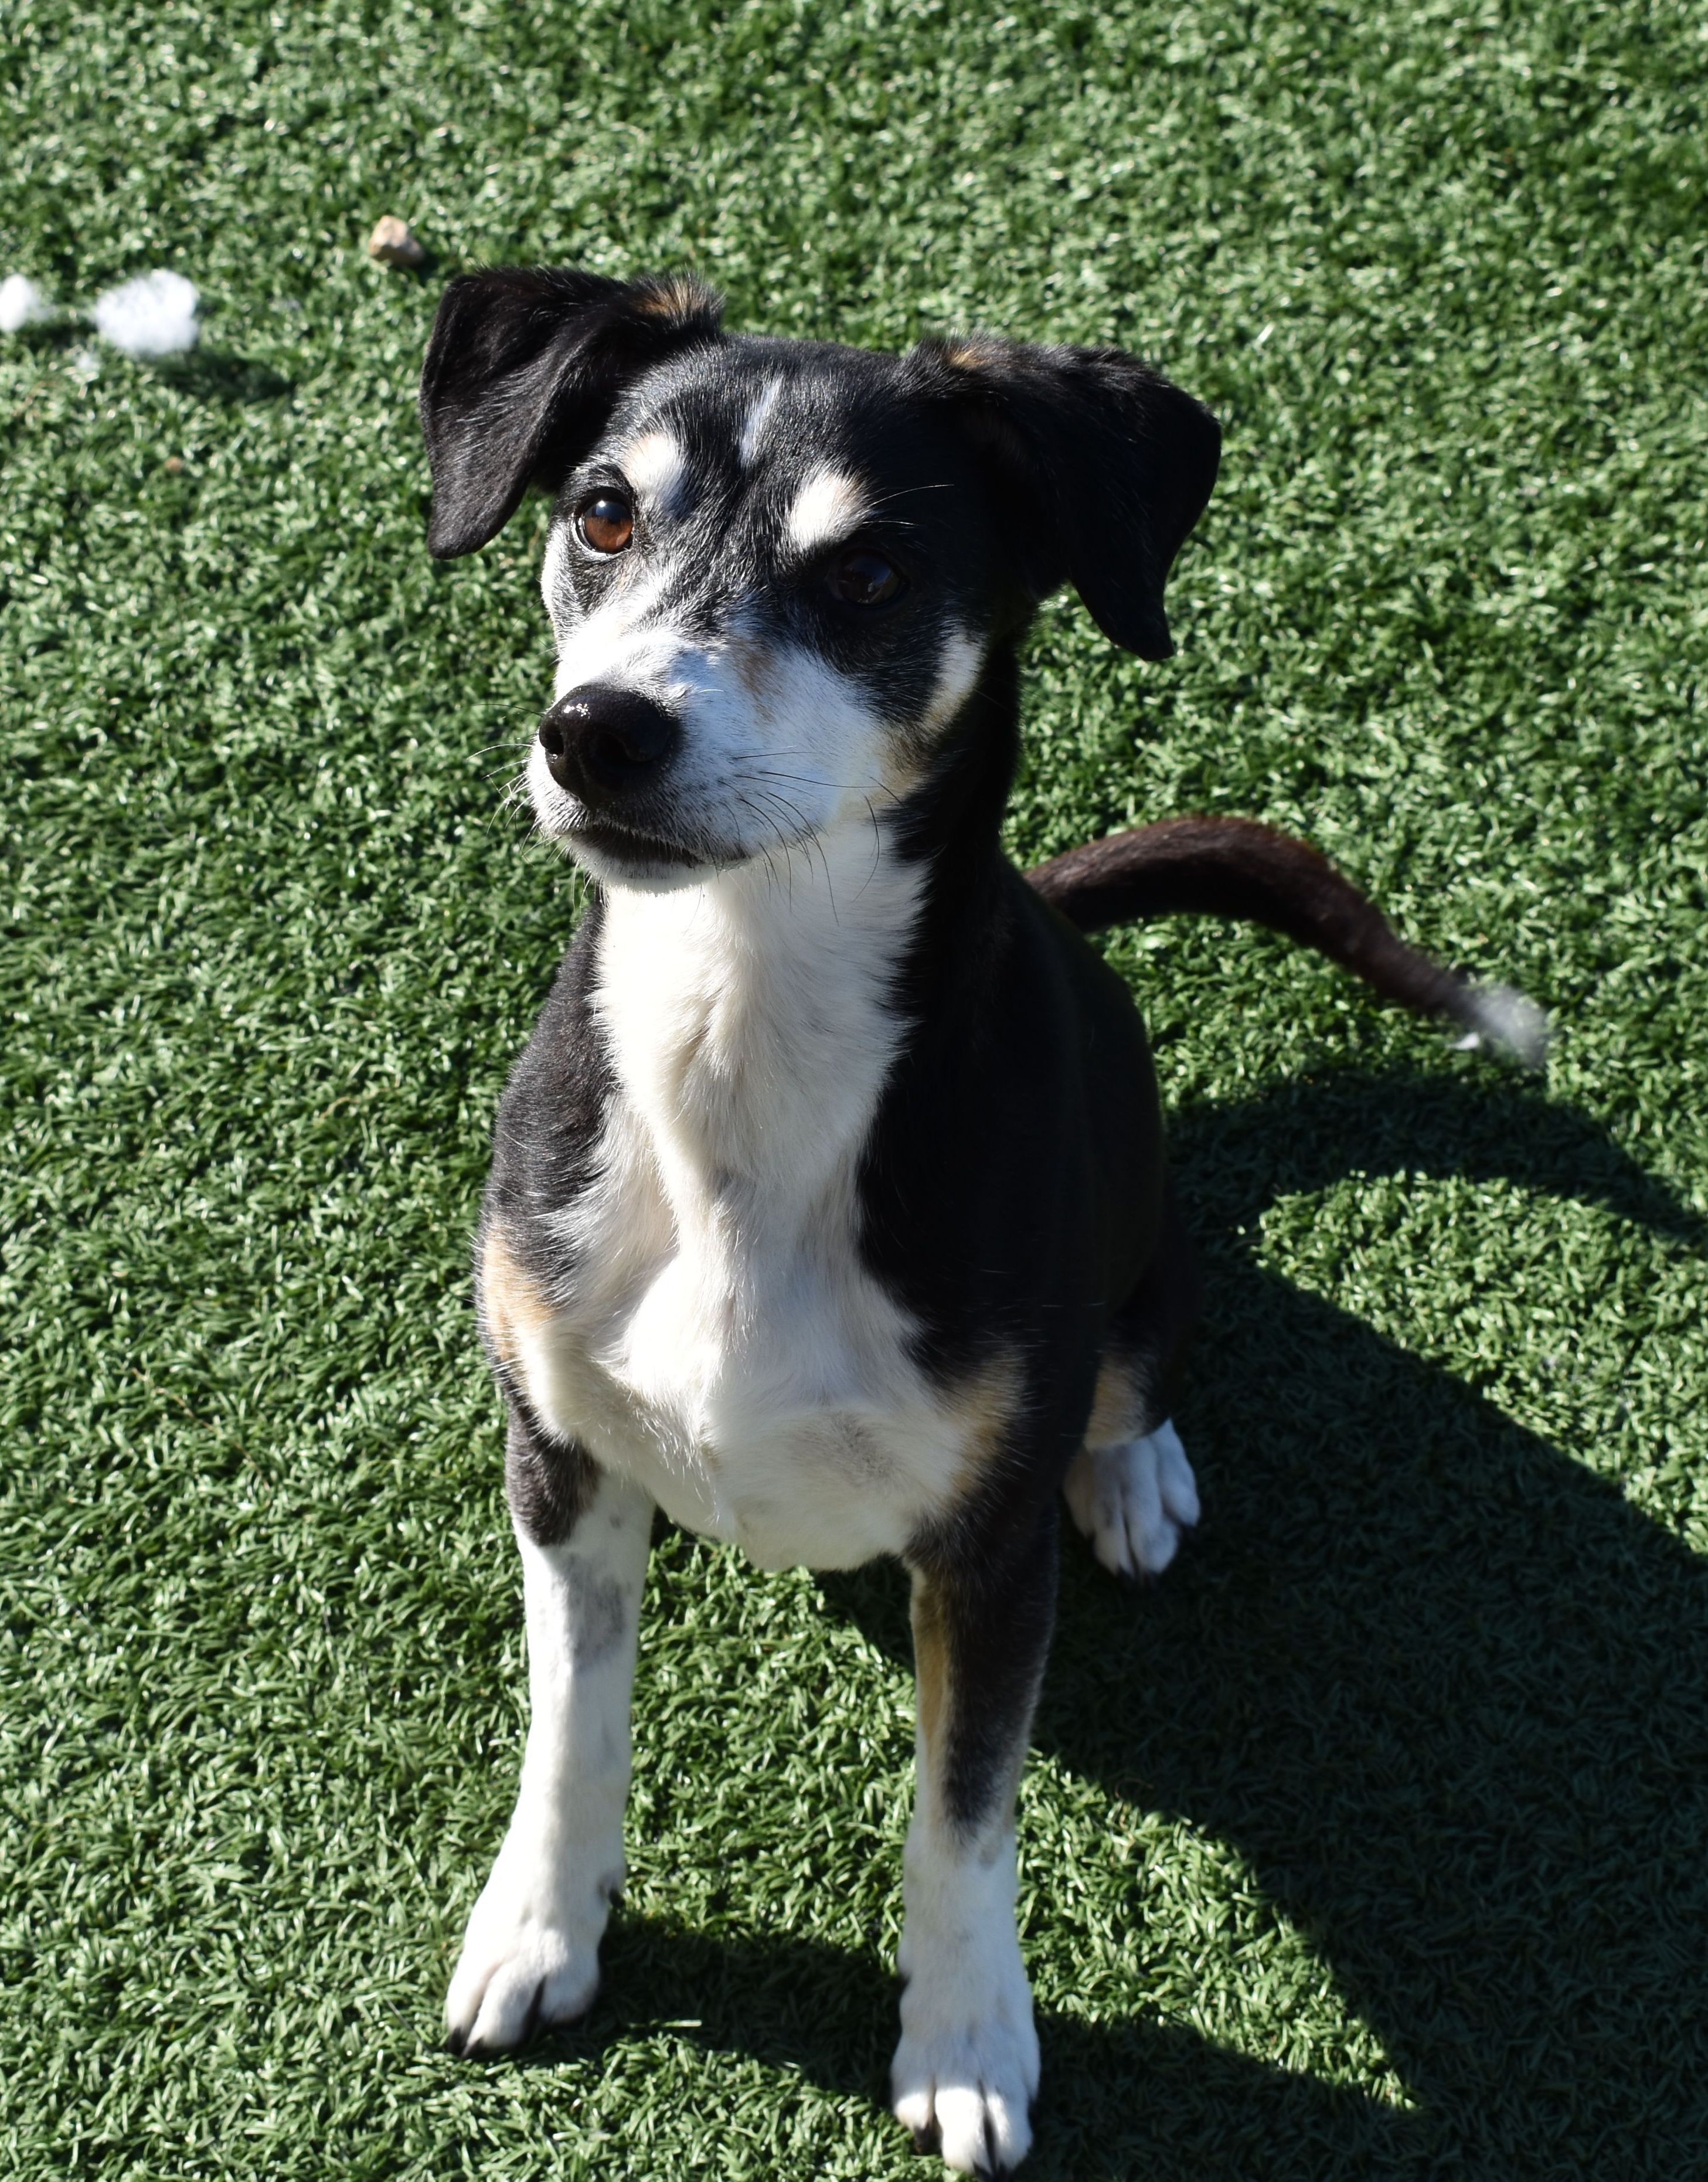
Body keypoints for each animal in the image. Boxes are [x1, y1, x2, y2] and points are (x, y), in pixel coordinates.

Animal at [416, 268, 1553, 2164]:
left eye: (871, 573)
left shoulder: (986, 1550)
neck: (739, 1046)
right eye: (604, 511)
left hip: (1139, 1266)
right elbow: (569, 1722)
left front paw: (964, 2040)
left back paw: (1135, 1475)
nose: (600, 733)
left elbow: (963, 1816)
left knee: (1133, 1378)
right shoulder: (554, 1455)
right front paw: (539, 1926)